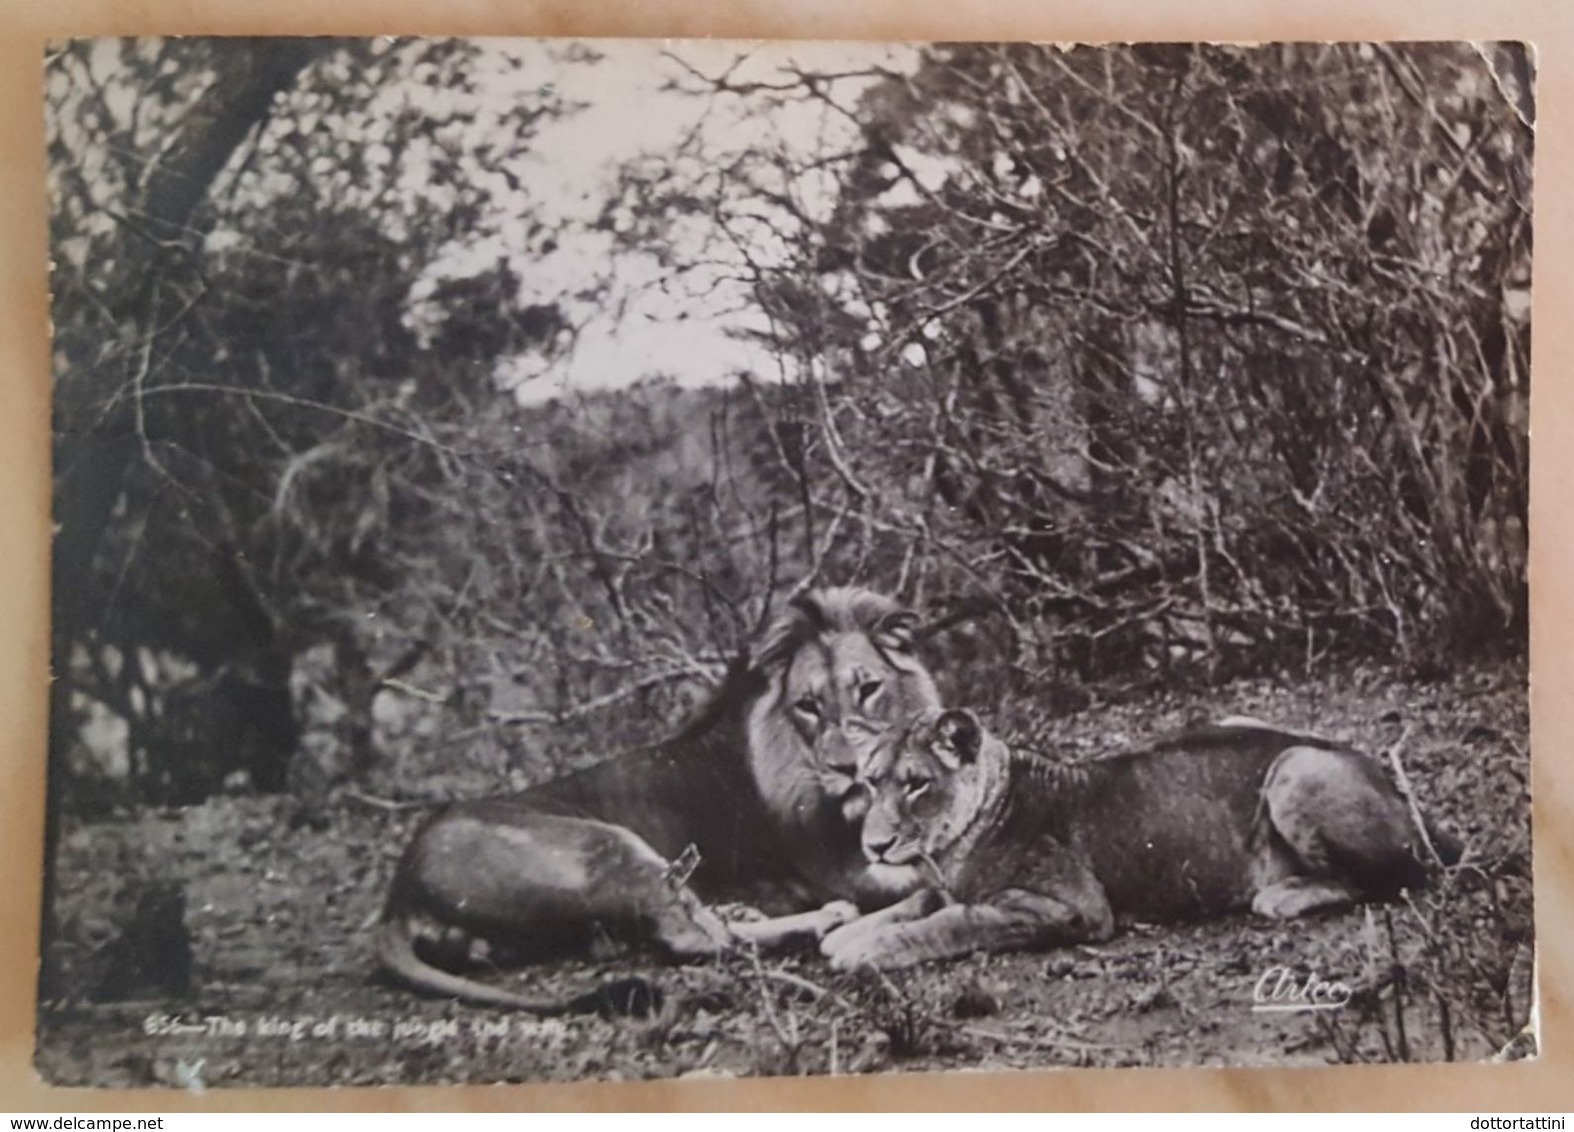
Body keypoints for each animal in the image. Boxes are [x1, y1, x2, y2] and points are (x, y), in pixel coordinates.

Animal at [374, 585, 938, 1007]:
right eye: (808, 706)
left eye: (868, 689)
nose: (849, 767)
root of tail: (399, 892)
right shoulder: (835, 868)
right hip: (606, 846)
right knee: (693, 939)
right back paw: (821, 918)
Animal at [818, 711, 1454, 969]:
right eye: (870, 782)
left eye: (917, 784)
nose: (875, 845)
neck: (951, 847)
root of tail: (1393, 783)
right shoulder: (941, 884)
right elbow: (915, 902)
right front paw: (846, 933)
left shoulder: (1071, 907)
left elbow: (952, 922)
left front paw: (866, 950)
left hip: (1295, 766)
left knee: (1397, 875)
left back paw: (1281, 893)